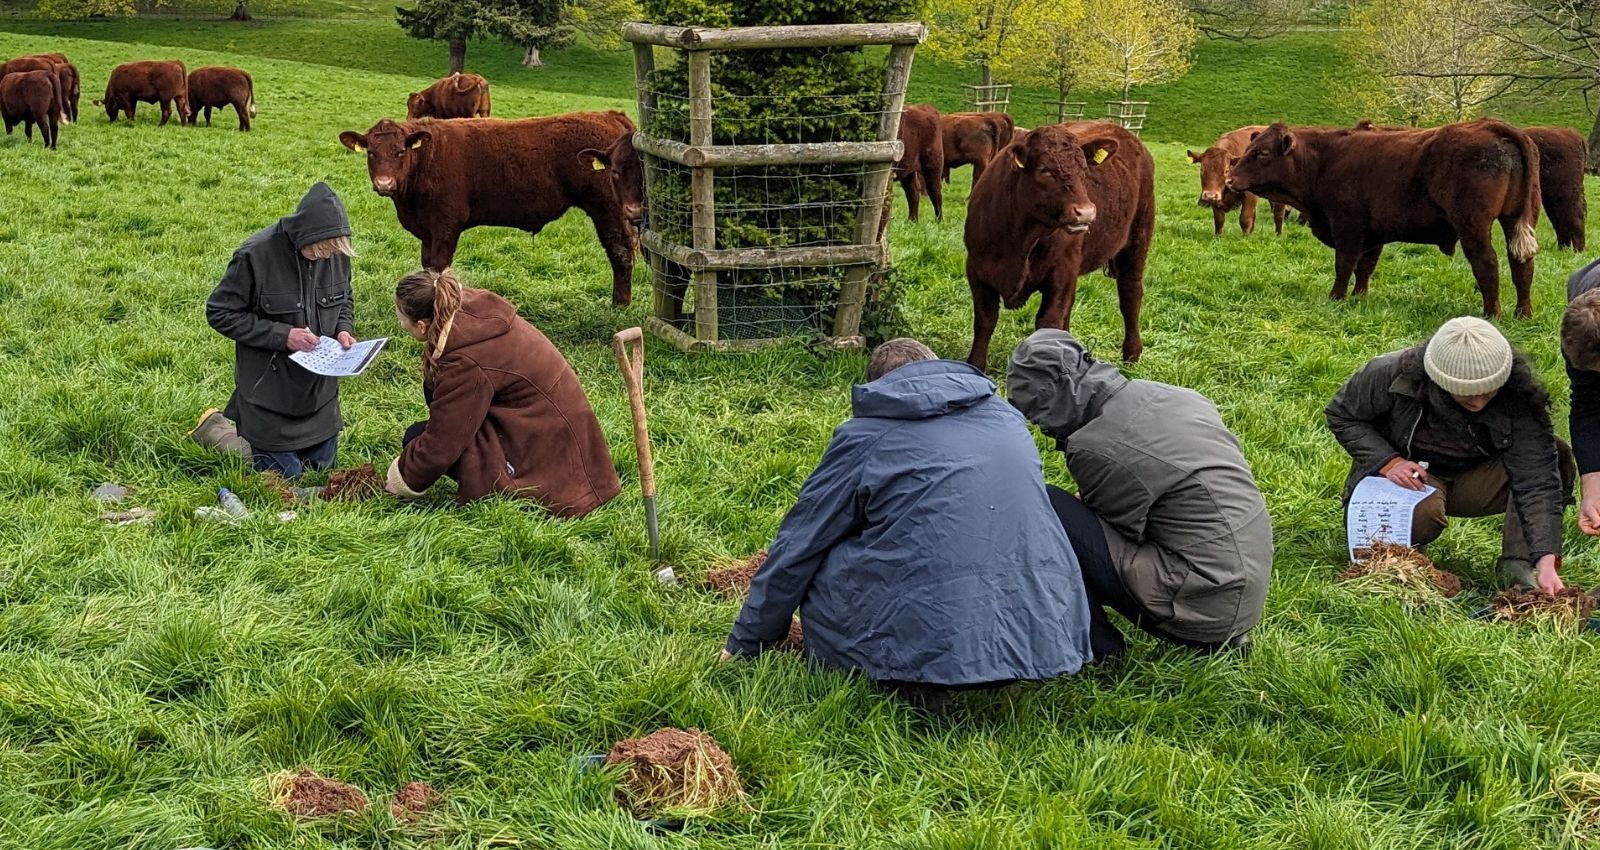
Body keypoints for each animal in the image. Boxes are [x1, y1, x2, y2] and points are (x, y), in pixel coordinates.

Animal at [340, 111, 640, 305]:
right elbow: (427, 266)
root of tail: (608, 115)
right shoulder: (427, 228)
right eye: (371, 153)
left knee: (621, 250)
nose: (384, 183)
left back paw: (620, 304)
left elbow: (439, 267)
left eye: (400, 152)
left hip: (609, 208)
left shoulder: (446, 223)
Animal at [960, 123, 1152, 369]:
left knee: (1130, 292)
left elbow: (1048, 322)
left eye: (1083, 169)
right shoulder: (977, 269)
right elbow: (985, 320)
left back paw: (1131, 354)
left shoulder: (1060, 272)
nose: (1086, 212)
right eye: (1044, 170)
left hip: (1138, 237)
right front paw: (974, 365)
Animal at [1228, 118, 1542, 316]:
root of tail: (1489, 125)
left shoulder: (1347, 228)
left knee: (1487, 265)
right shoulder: (1374, 234)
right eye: (1249, 149)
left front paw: (1336, 297)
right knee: (1522, 267)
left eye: (1262, 153)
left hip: (1473, 226)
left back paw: (1492, 314)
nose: (1230, 179)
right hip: (1515, 220)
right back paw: (1522, 313)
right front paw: (1358, 297)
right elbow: (1364, 268)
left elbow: (1344, 266)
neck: (1325, 160)